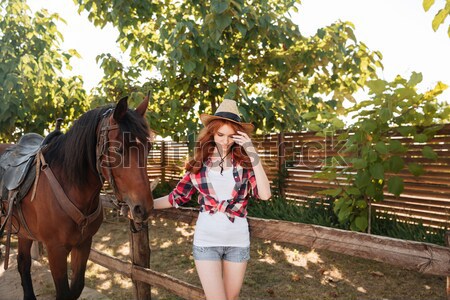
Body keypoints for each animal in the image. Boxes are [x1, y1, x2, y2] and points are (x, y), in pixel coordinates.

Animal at [0, 95, 153, 298]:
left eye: (149, 147)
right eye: (119, 149)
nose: (143, 208)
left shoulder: (83, 244)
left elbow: (77, 287)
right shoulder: (55, 250)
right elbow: (64, 293)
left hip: (24, 233)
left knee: (23, 263)